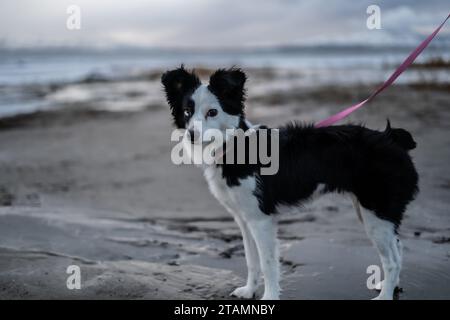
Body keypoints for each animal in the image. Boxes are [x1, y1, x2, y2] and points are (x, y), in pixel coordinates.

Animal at [162, 66, 418, 298]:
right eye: (187, 111)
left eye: (213, 112)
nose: (191, 135)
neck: (234, 146)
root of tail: (390, 138)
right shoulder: (244, 219)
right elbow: (251, 260)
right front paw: (248, 291)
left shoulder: (261, 220)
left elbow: (267, 263)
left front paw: (269, 297)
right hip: (374, 212)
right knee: (398, 247)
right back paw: (390, 286)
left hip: (376, 213)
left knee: (392, 259)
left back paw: (384, 296)